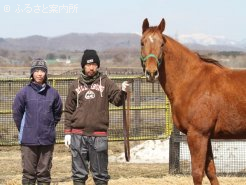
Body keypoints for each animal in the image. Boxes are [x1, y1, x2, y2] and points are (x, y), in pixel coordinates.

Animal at [140, 17, 246, 185]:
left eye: (162, 44)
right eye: (142, 43)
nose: (151, 73)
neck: (192, 82)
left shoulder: (197, 135)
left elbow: (197, 173)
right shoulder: (206, 136)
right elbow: (211, 172)